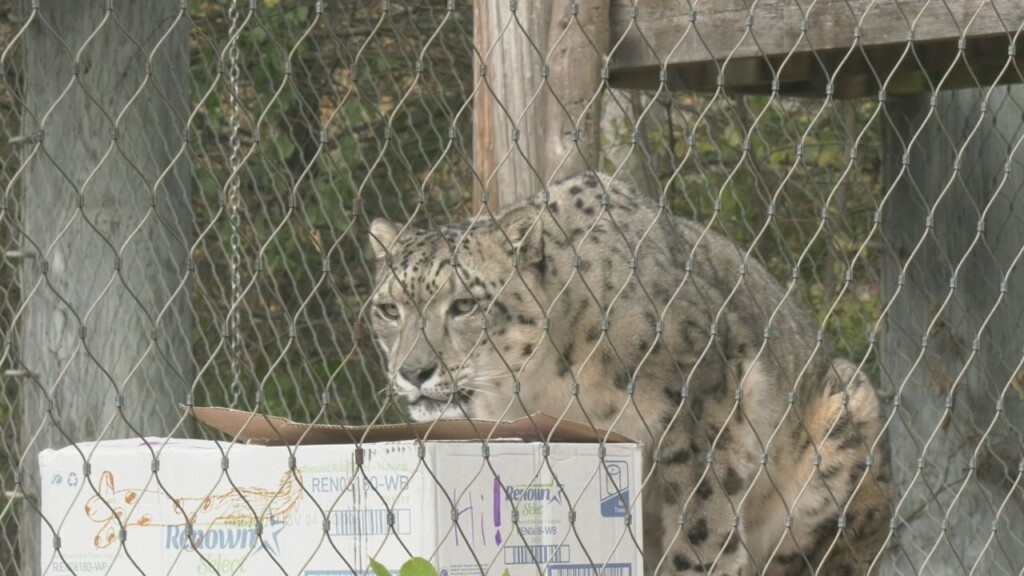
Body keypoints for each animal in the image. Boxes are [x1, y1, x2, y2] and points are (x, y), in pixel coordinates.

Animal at [366, 172, 893, 575]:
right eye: (389, 309)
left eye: (464, 305)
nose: (413, 371)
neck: (545, 387)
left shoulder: (704, 404)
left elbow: (700, 521)